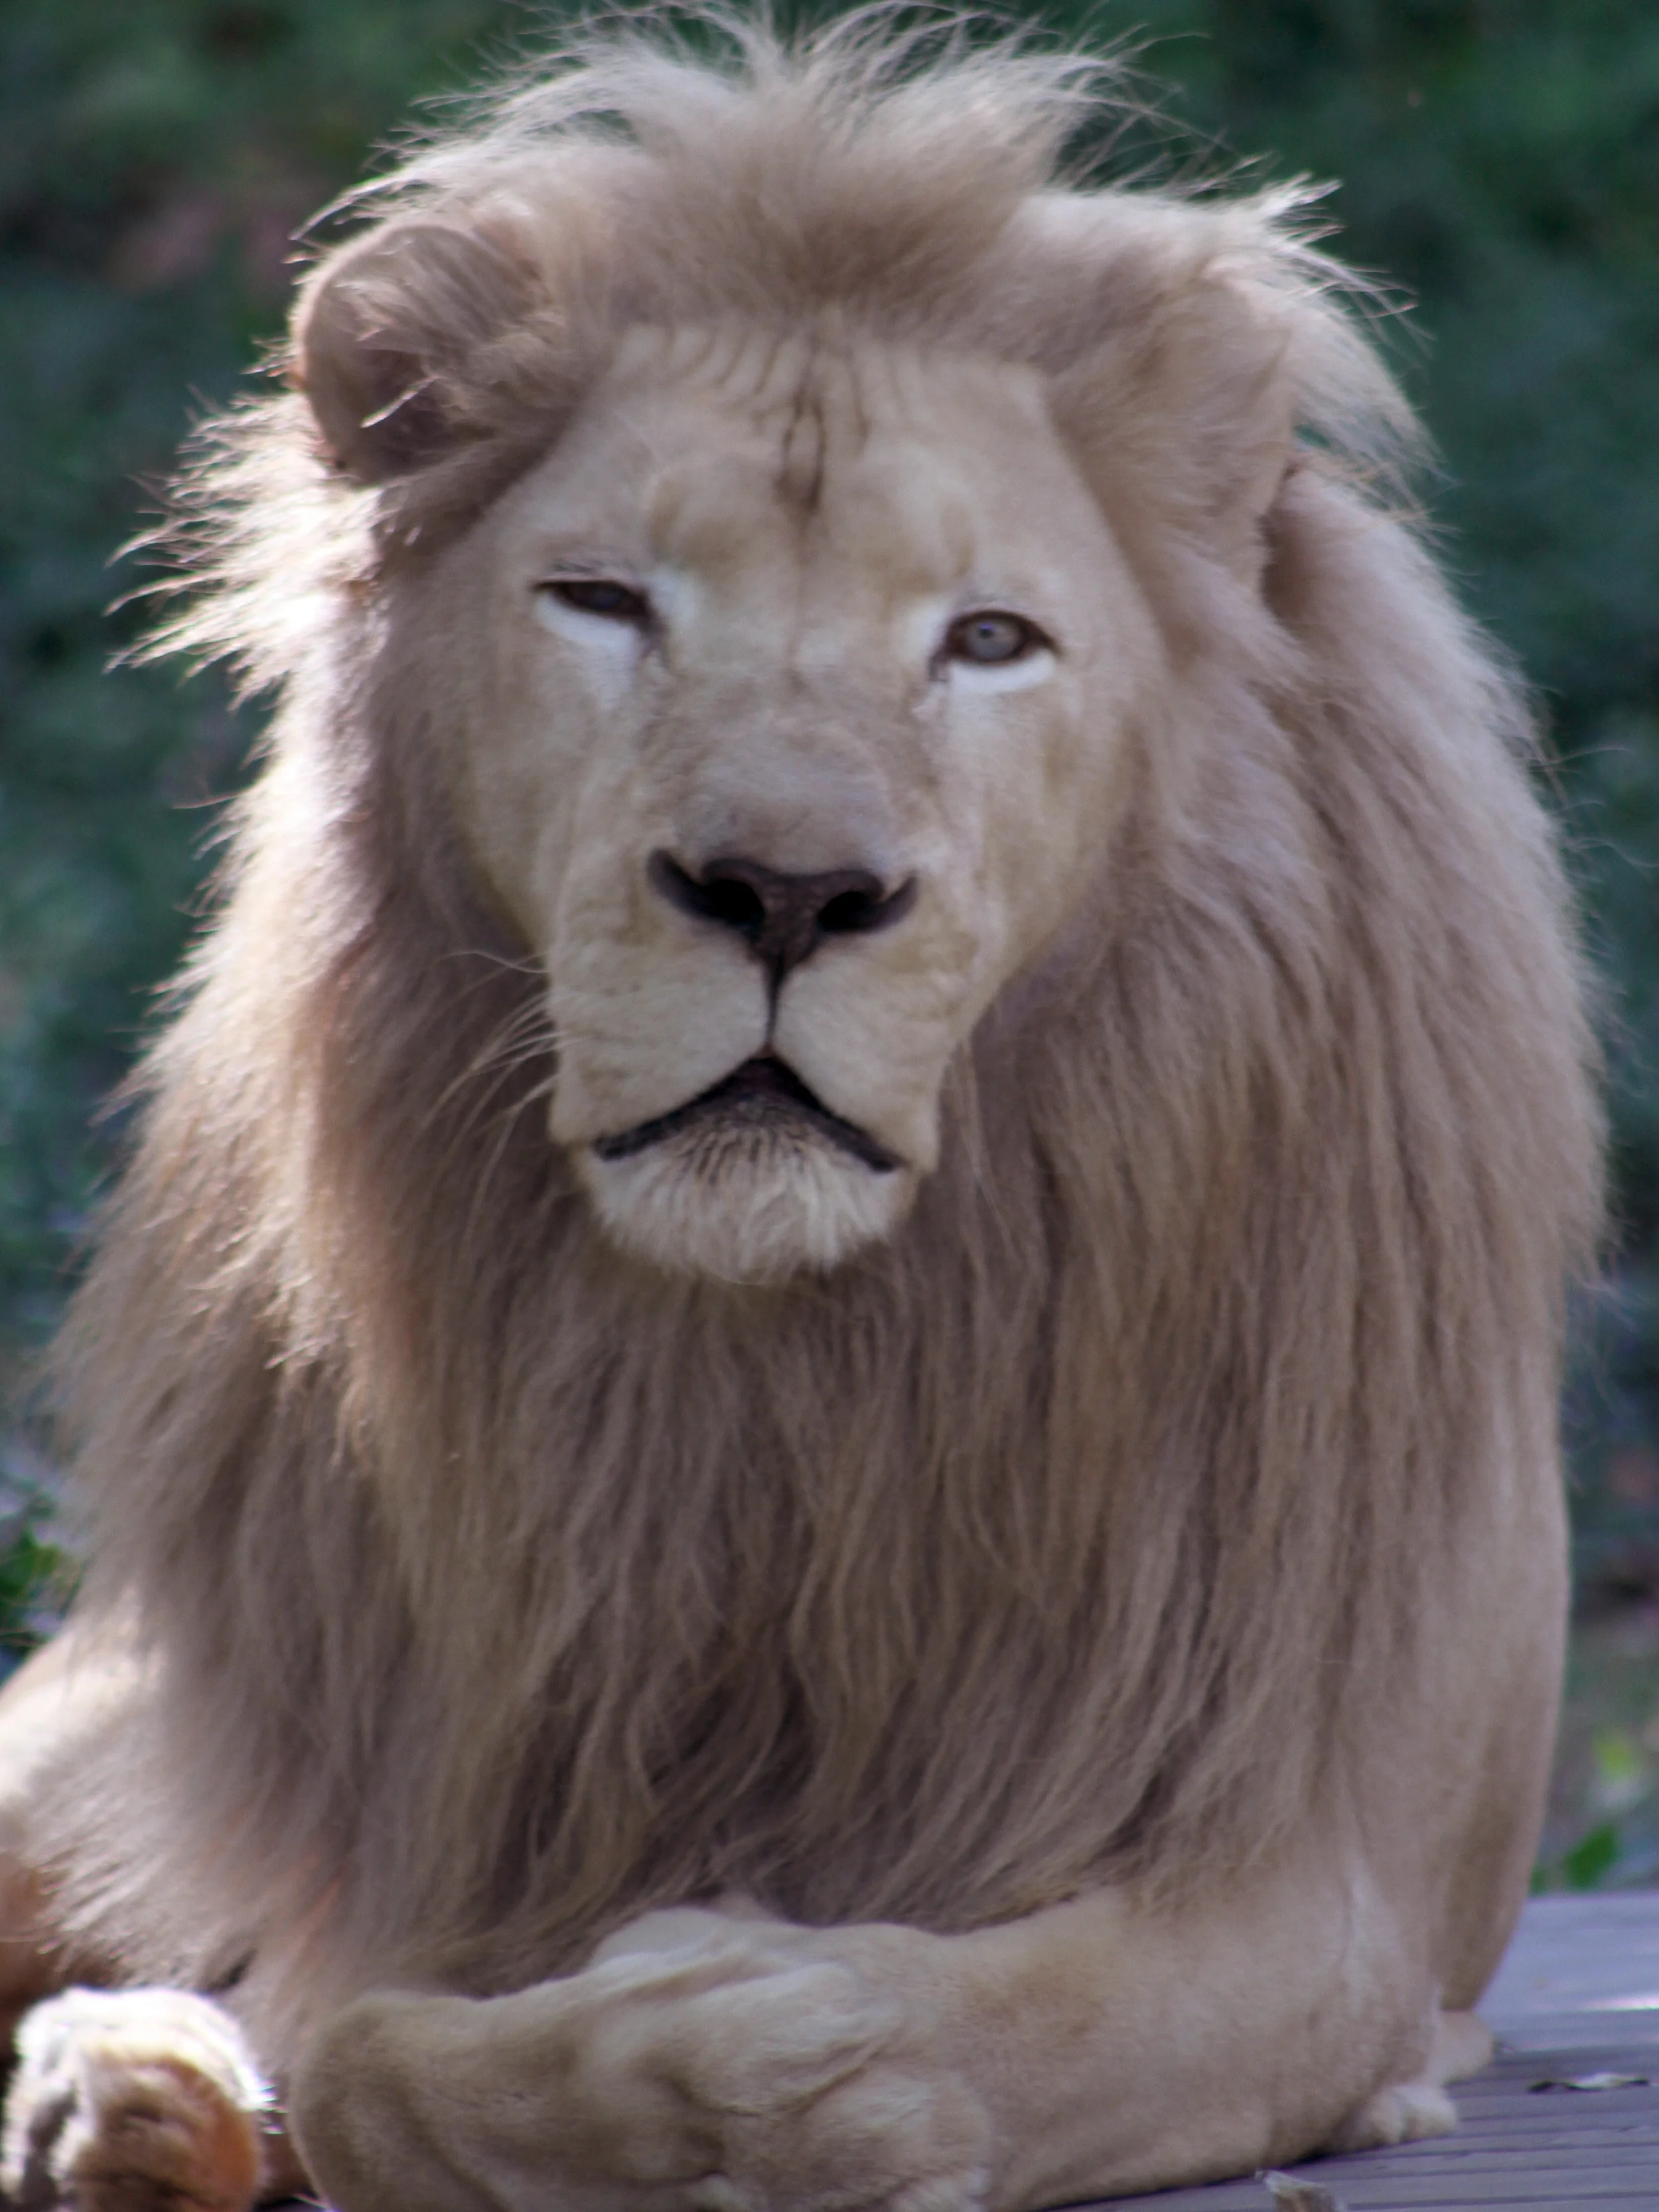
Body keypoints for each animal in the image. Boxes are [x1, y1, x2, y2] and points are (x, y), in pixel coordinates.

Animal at [0, 16, 1601, 2211]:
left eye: (988, 640)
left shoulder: (1317, 1885)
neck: (793, 1373)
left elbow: (931, 2042)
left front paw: (725, 2030)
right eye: (601, 602)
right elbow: (366, 2042)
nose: (781, 891)